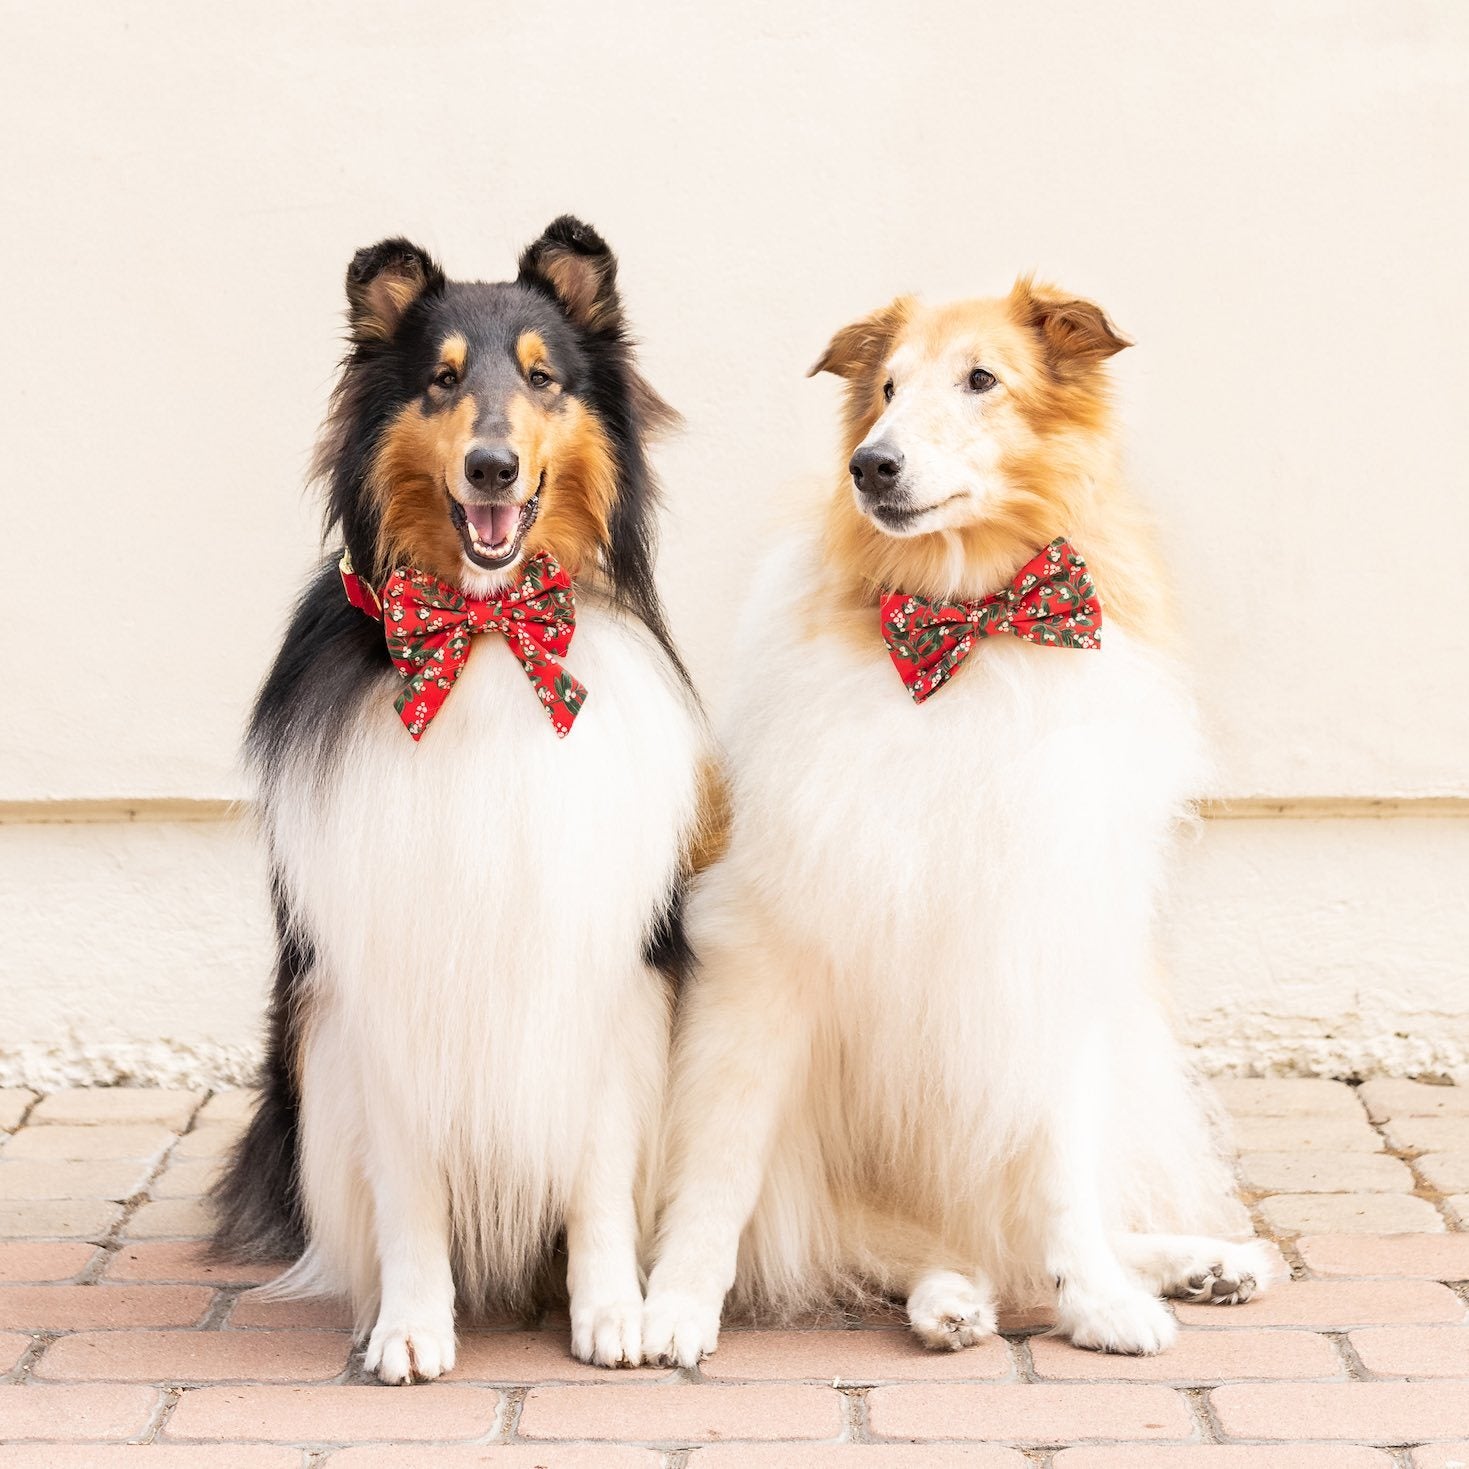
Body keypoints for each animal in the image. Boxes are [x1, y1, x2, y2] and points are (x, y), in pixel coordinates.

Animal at [211, 214, 705, 1374]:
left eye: (542, 378)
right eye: (438, 382)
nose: (491, 465)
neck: (482, 640)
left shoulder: (603, 968)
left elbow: (597, 1162)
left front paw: (610, 1310)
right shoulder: (379, 978)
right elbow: (408, 1188)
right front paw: (409, 1323)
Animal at [643, 280, 1275, 1357]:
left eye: (981, 379)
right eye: (885, 390)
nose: (869, 464)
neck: (975, 629)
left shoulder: (1039, 939)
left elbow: (1061, 1176)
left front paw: (1099, 1300)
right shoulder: (759, 949)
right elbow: (720, 1161)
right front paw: (676, 1303)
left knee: (1008, 1223)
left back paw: (1193, 1261)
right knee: (900, 1241)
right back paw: (950, 1301)